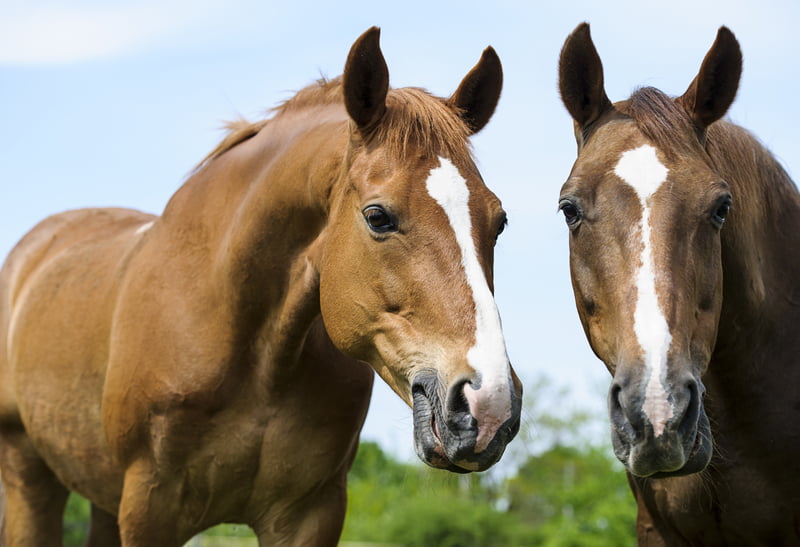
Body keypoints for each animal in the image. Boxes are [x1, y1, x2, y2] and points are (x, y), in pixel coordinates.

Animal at [0, 27, 520, 544]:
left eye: (499, 222)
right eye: (378, 216)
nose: (489, 404)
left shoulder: (311, 513)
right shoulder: (149, 509)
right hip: (29, 479)